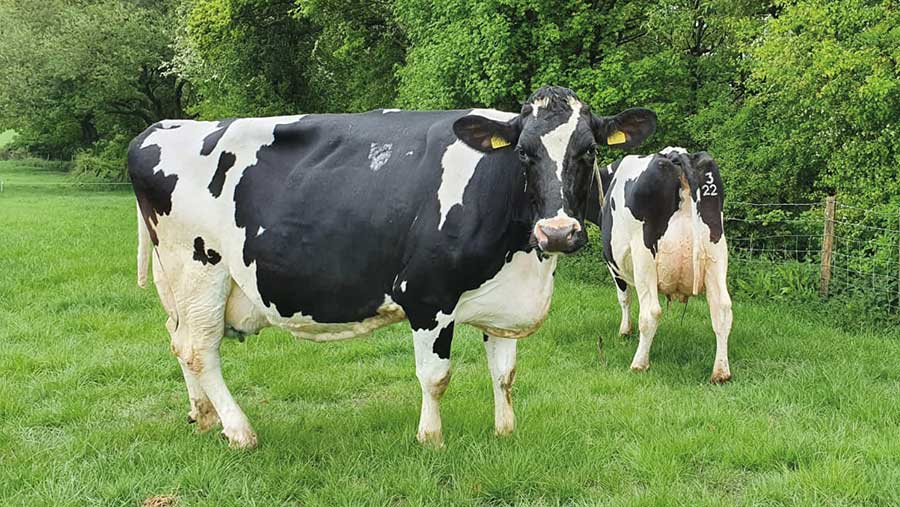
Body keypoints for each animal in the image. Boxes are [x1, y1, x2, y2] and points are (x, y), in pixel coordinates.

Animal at [128, 86, 657, 448]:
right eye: (524, 153)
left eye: (588, 151)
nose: (558, 232)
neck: (526, 260)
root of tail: (162, 127)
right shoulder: (427, 296)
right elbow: (435, 376)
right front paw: (431, 439)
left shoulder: (503, 302)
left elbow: (504, 373)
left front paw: (504, 432)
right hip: (199, 267)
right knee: (199, 348)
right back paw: (239, 431)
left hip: (180, 282)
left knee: (179, 339)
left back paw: (203, 416)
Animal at [585, 147, 732, 383]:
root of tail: (678, 156)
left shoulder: (613, 264)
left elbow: (624, 298)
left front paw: (625, 331)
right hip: (716, 251)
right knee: (722, 309)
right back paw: (720, 372)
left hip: (644, 255)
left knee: (651, 312)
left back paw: (639, 364)